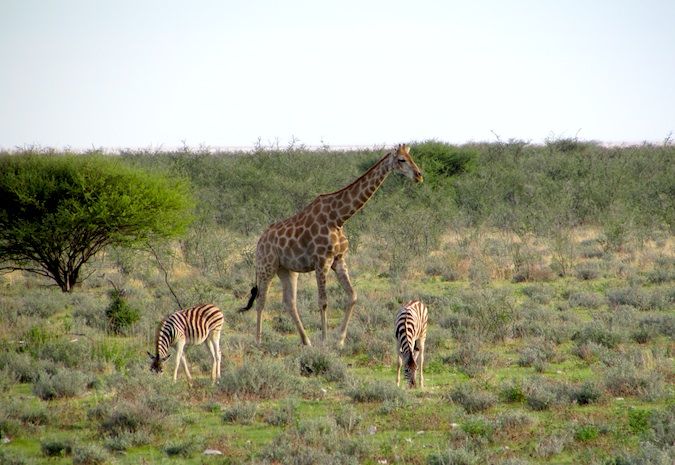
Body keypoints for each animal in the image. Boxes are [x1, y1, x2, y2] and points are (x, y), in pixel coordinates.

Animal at [240, 144, 426, 344]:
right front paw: (324, 340)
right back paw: (258, 341)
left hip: (287, 270)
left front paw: (340, 340)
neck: (338, 217)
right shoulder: (322, 261)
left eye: (411, 157)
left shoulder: (339, 260)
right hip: (266, 267)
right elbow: (323, 301)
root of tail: (259, 242)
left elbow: (353, 295)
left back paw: (306, 342)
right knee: (261, 300)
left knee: (289, 302)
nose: (419, 175)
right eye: (401, 159)